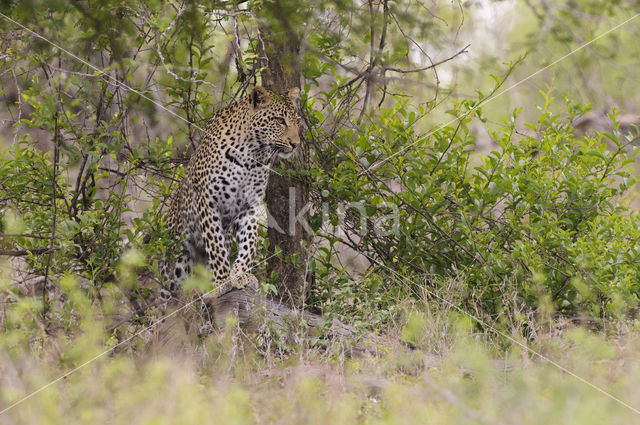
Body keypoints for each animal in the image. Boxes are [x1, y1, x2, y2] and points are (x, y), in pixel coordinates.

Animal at [159, 84, 302, 300]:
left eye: (297, 122)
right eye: (280, 120)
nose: (296, 143)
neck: (252, 154)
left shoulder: (249, 206)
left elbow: (248, 243)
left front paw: (241, 274)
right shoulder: (208, 203)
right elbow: (216, 246)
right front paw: (221, 281)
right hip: (176, 258)